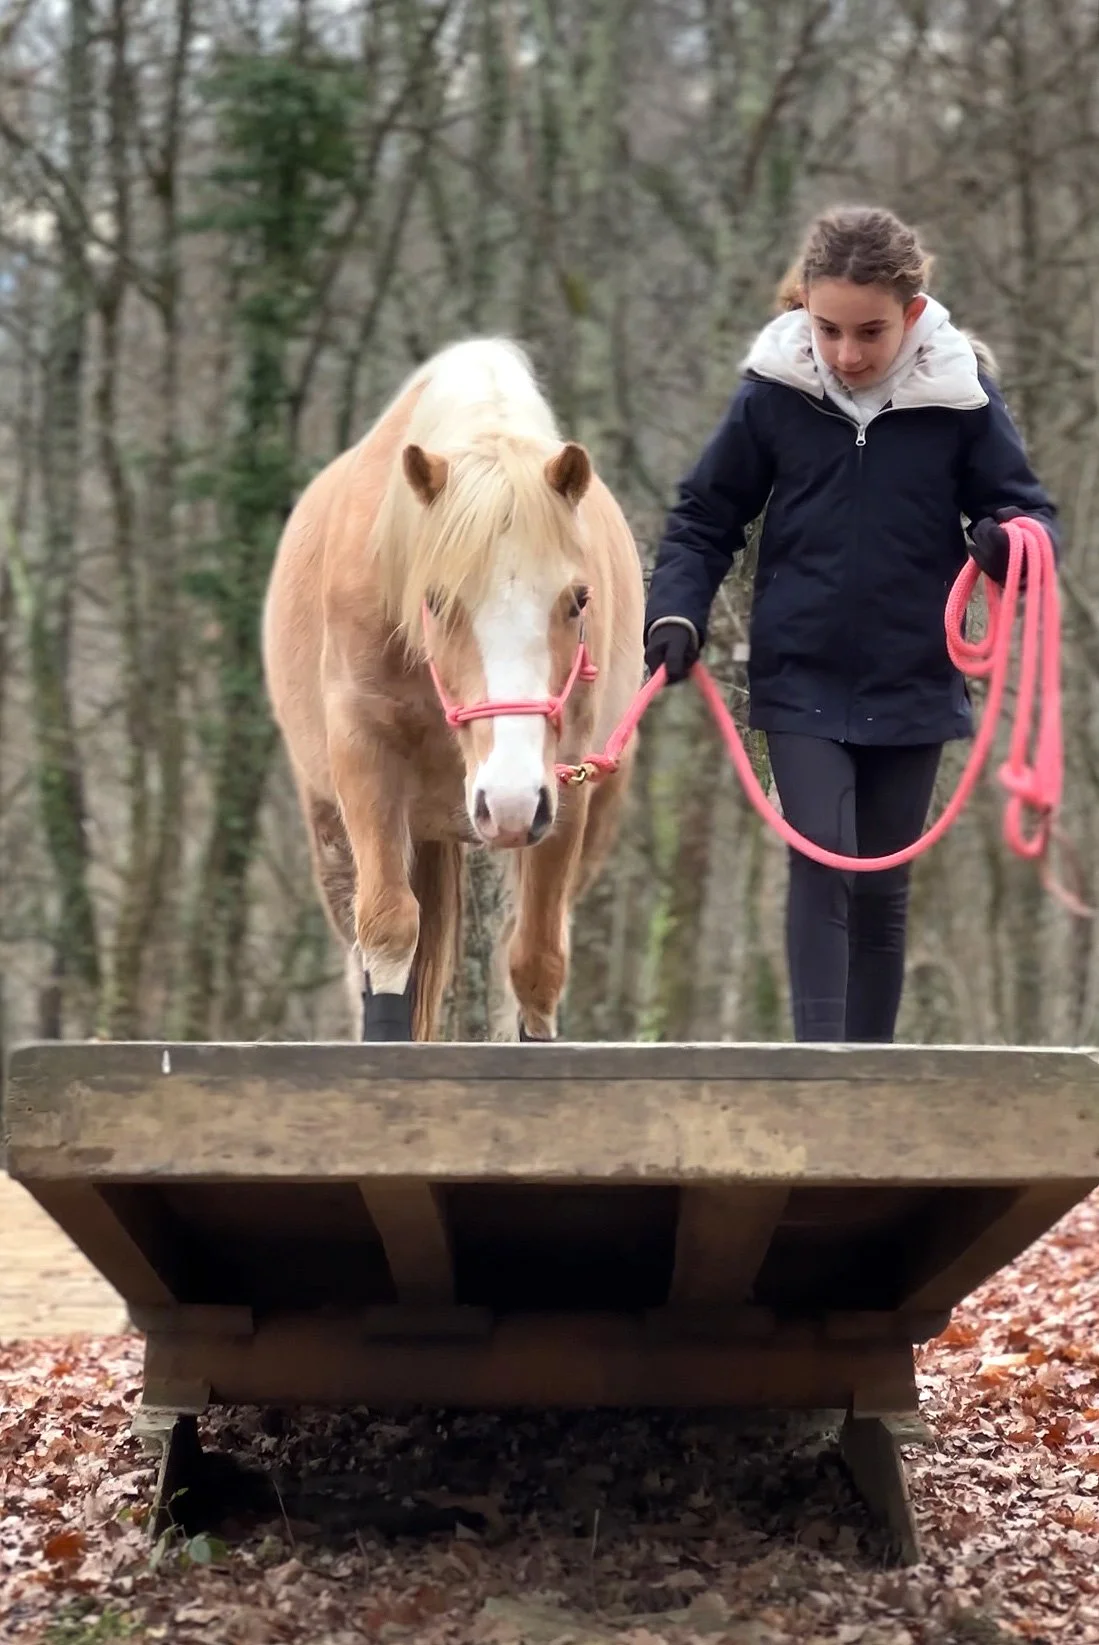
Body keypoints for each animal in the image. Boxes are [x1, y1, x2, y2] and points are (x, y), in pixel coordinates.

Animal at [261, 337, 646, 1042]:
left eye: (578, 599)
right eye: (436, 600)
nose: (512, 799)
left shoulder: (565, 788)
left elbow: (538, 961)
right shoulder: (364, 760)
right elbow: (389, 934)